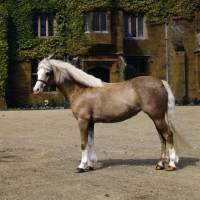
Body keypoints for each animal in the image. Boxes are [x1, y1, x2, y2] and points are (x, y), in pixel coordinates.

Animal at [32, 57, 189, 173]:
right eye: (37, 72)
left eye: (47, 73)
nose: (36, 90)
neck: (80, 89)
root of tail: (161, 82)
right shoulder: (90, 122)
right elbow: (90, 142)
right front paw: (90, 165)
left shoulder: (83, 121)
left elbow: (83, 143)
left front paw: (81, 166)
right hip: (156, 117)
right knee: (162, 138)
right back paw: (160, 164)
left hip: (157, 116)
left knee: (168, 135)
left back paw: (172, 165)